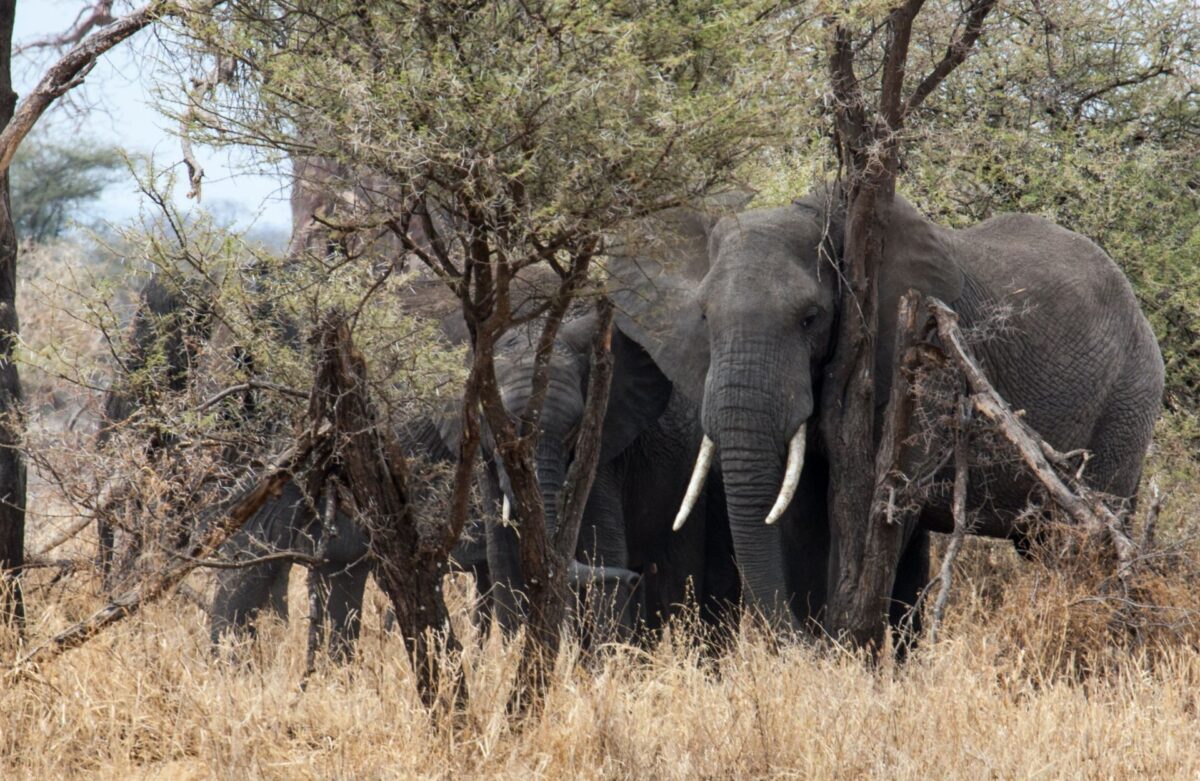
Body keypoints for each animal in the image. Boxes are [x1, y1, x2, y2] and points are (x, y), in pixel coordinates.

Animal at [609, 185, 1161, 633]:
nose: (794, 639)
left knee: (1085, 538)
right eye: (703, 317)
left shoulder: (919, 360)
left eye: (811, 318)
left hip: (1127, 401)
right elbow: (801, 515)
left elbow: (885, 503)